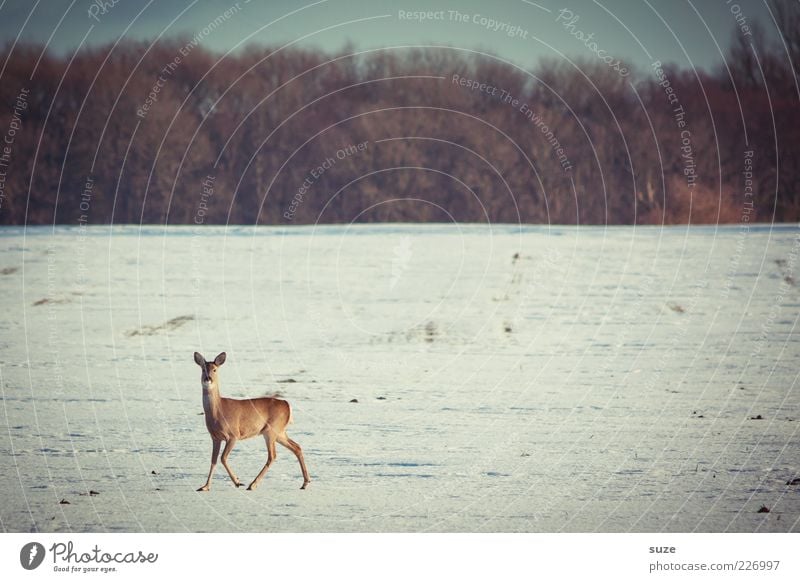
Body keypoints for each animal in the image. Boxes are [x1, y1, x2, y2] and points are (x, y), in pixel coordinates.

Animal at [192, 352, 310, 492]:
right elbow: (213, 460)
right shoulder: (215, 437)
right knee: (297, 447)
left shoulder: (233, 434)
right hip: (279, 432)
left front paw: (237, 482)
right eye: (203, 369)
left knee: (272, 455)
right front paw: (205, 486)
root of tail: (287, 405)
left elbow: (223, 458)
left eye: (215, 369)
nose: (208, 378)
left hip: (271, 430)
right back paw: (305, 483)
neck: (218, 411)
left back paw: (252, 484)